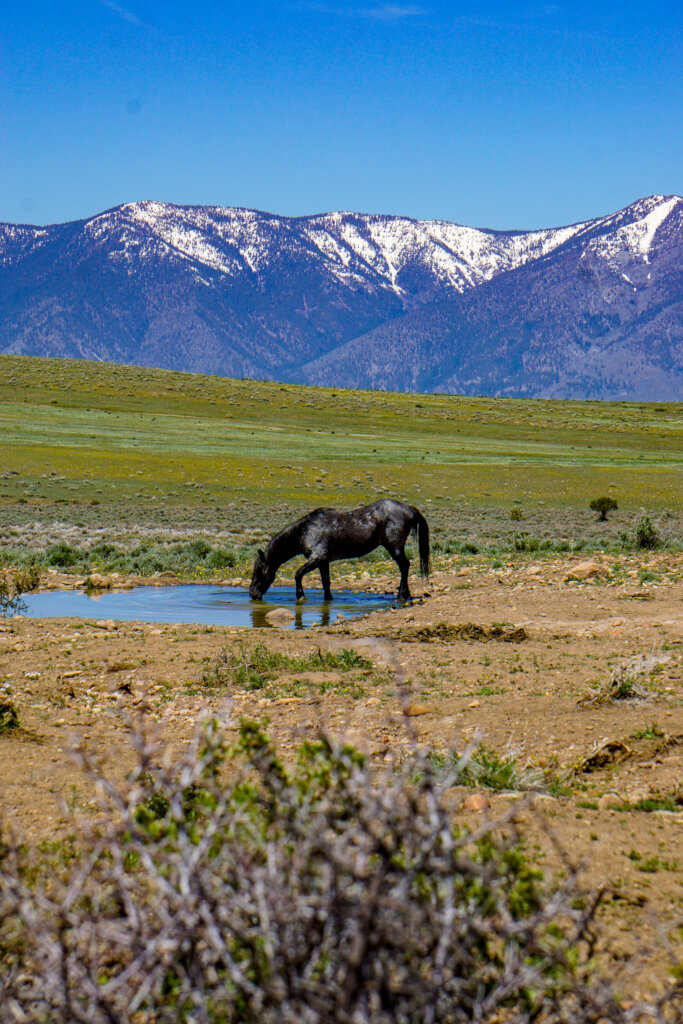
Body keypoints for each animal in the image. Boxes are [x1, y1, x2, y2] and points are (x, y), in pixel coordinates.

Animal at [249, 499, 430, 603]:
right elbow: (326, 582)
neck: (306, 531)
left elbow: (298, 574)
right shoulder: (323, 562)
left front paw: (301, 595)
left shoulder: (316, 558)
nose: (252, 594)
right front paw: (328, 599)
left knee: (404, 566)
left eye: (259, 571)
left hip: (395, 547)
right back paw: (405, 594)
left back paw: (401, 596)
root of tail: (408, 509)